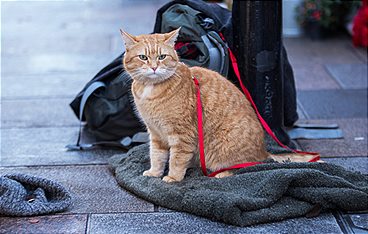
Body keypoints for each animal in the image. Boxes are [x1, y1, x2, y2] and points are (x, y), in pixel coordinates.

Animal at [121, 28, 268, 183]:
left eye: (162, 57)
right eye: (143, 57)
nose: (154, 67)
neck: (150, 89)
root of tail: (264, 152)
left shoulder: (182, 135)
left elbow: (177, 159)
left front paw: (173, 177)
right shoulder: (156, 134)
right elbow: (156, 156)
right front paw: (154, 173)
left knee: (243, 167)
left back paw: (221, 173)